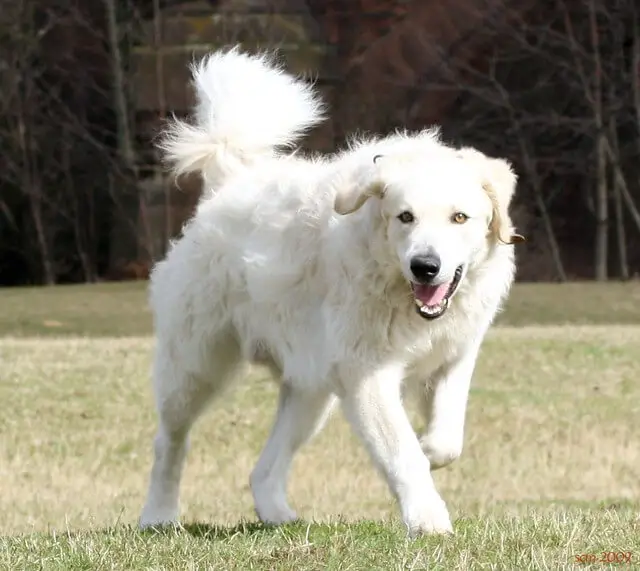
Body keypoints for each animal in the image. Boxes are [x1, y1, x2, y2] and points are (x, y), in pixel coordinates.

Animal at [138, 47, 524, 540]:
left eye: (460, 217)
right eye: (405, 217)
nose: (425, 266)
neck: (398, 289)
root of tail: (227, 186)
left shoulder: (455, 351)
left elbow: (447, 435)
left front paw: (432, 449)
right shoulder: (365, 375)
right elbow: (403, 454)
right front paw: (428, 519)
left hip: (310, 389)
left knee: (264, 469)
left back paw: (277, 516)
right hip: (196, 367)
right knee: (169, 442)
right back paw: (158, 516)